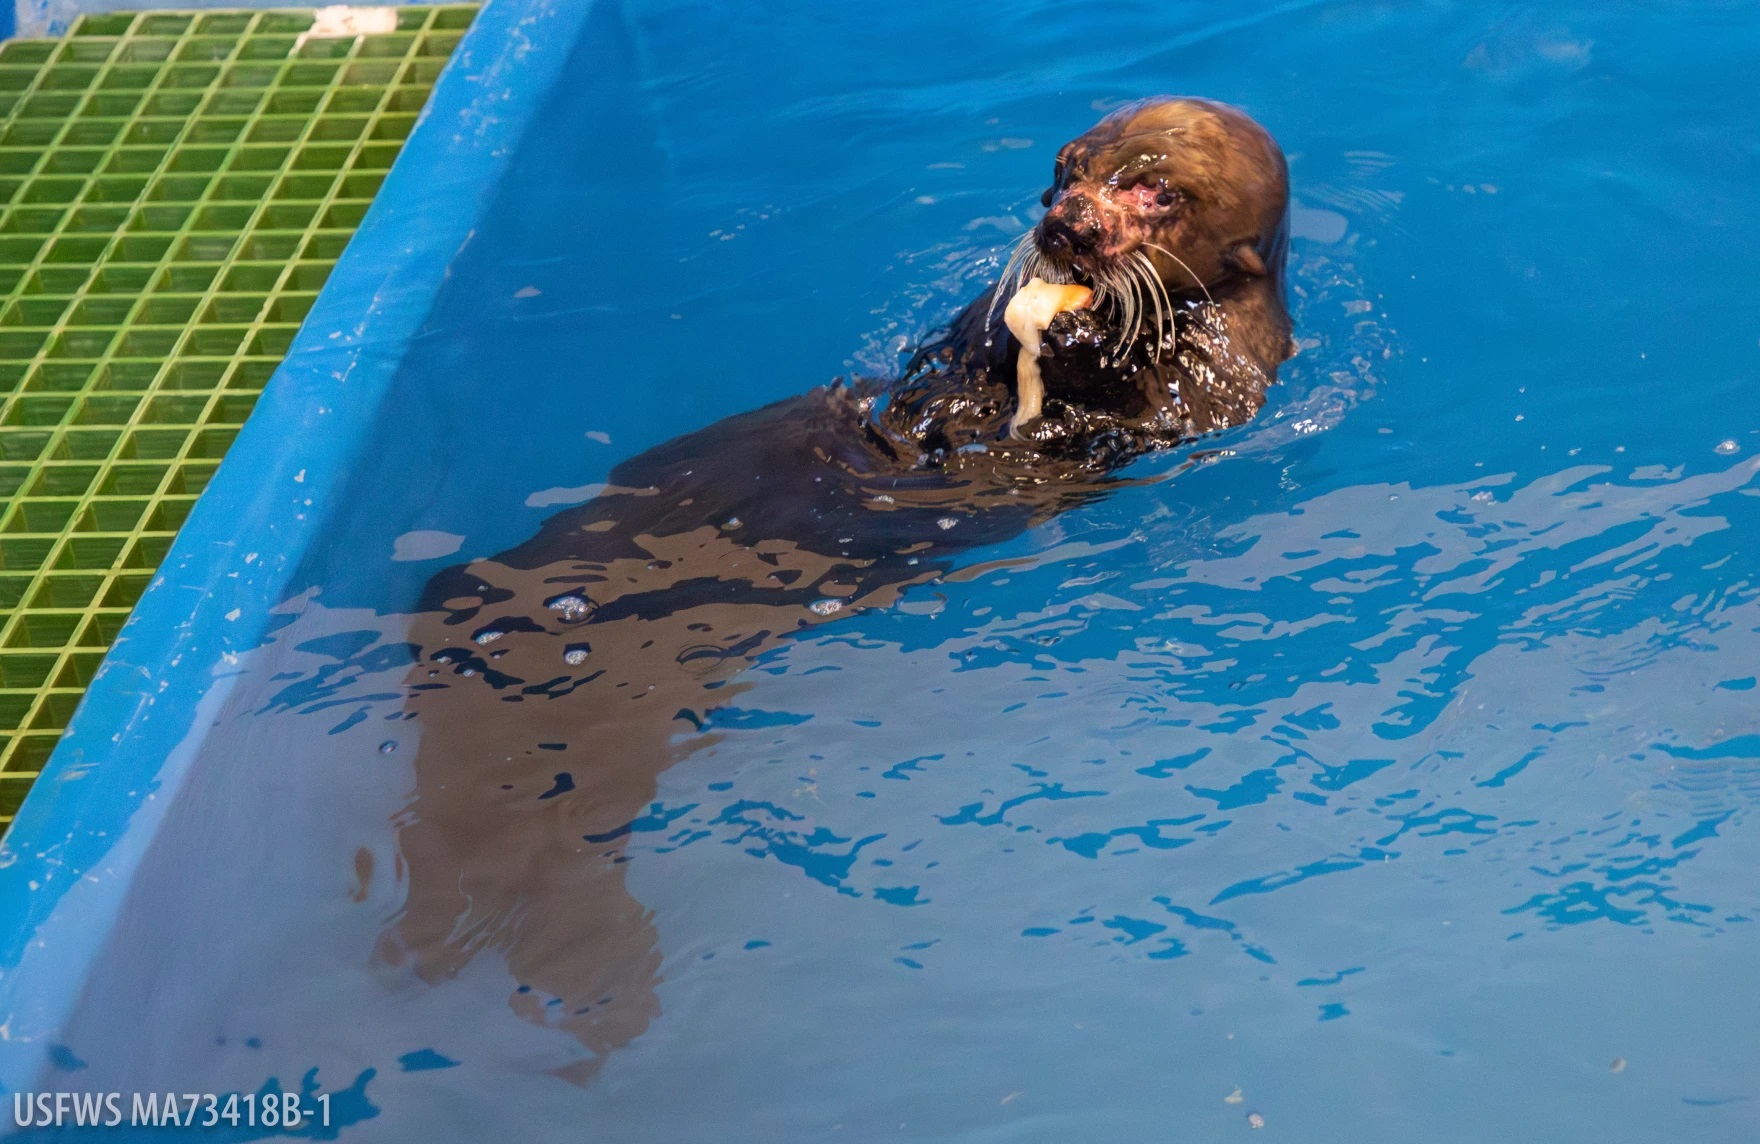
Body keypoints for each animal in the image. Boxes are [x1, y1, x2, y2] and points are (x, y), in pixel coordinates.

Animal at [381, 98, 1295, 1077]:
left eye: (1154, 193)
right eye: (1067, 169)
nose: (1065, 226)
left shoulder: (1225, 382)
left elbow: (1139, 407)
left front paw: (1082, 340)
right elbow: (964, 351)